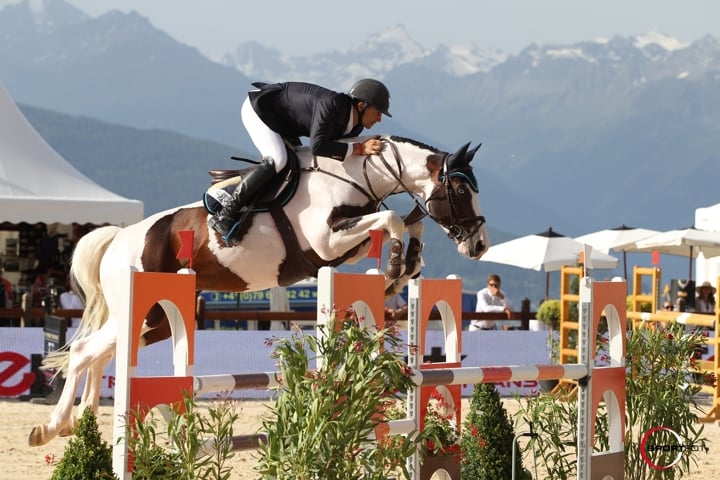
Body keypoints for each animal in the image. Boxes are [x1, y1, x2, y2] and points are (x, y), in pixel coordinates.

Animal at [28, 132, 490, 446]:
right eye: (460, 189)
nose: (479, 245)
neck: (357, 175)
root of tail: (118, 239)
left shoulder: (344, 250)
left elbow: (406, 224)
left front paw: (405, 265)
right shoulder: (326, 243)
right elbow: (393, 219)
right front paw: (395, 265)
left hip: (153, 321)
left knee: (102, 354)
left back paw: (84, 422)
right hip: (144, 307)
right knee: (84, 351)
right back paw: (52, 427)